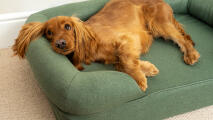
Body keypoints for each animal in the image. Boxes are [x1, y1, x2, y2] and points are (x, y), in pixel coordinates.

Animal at [12, 0, 200, 91]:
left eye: (68, 27)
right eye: (49, 33)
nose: (60, 44)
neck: (91, 44)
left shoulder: (127, 40)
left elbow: (126, 62)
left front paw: (140, 79)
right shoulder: (114, 56)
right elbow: (121, 65)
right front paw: (147, 69)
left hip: (159, 24)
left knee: (182, 39)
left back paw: (191, 54)